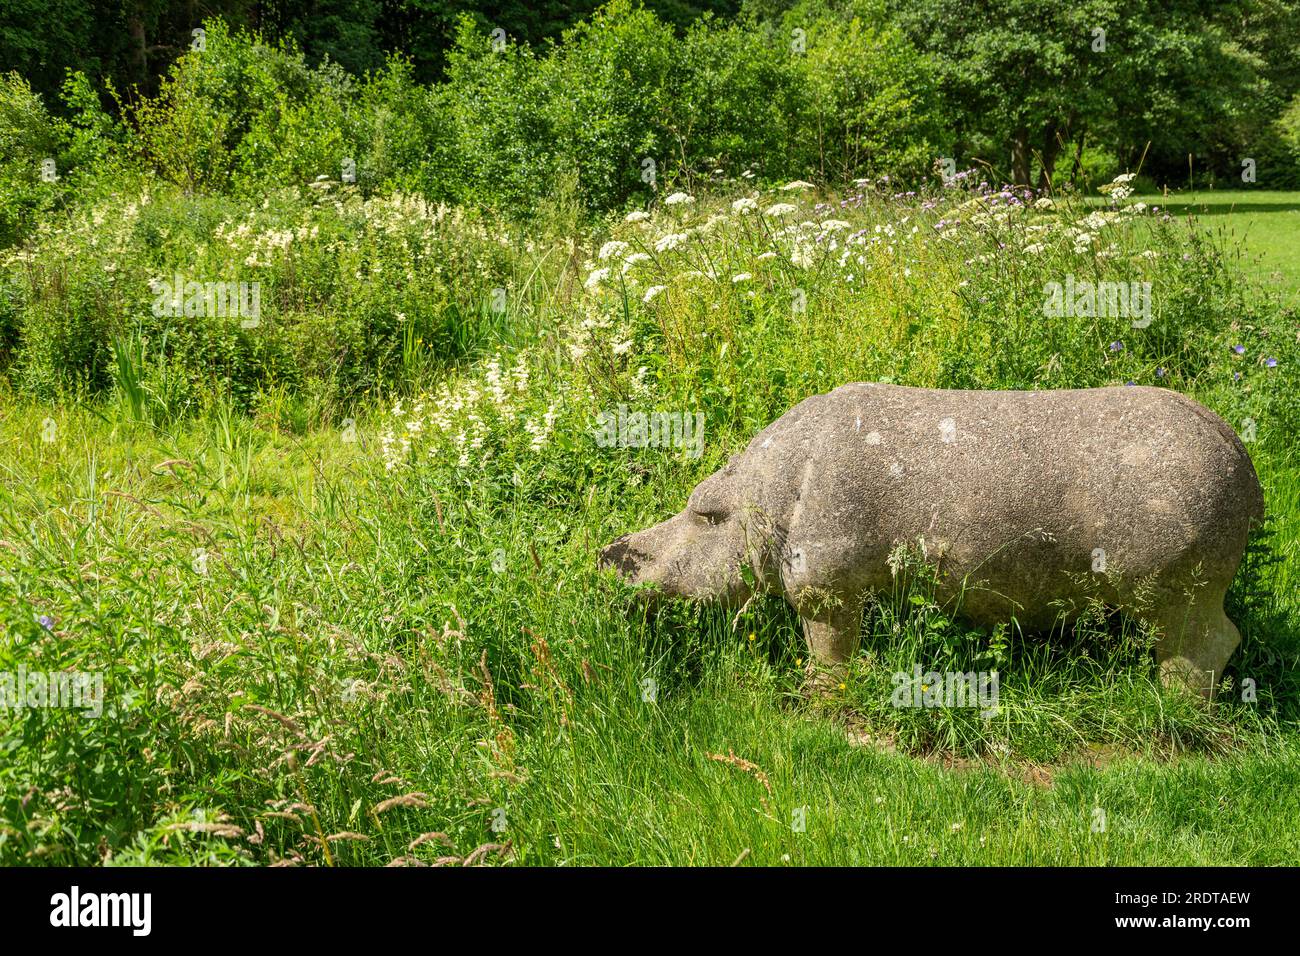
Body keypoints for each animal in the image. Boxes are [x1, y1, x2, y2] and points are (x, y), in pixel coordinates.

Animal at [599, 384, 1265, 698]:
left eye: (701, 513)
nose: (610, 552)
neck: (779, 503)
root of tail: (1242, 457)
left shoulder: (827, 583)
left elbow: (830, 651)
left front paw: (817, 701)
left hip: (1178, 582)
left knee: (1208, 642)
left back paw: (1174, 710)